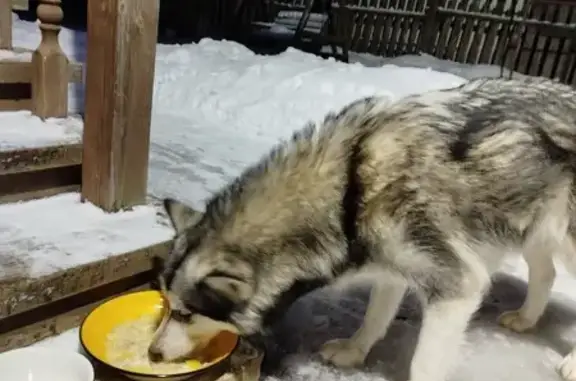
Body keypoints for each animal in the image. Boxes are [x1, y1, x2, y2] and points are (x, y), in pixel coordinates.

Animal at [151, 77, 576, 380]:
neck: (348, 189)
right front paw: (356, 350)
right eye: (167, 307)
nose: (152, 353)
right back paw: (526, 318)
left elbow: (423, 364)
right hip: (534, 229)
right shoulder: (393, 266)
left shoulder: (456, 286)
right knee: (546, 273)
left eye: (186, 314)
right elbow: (375, 314)